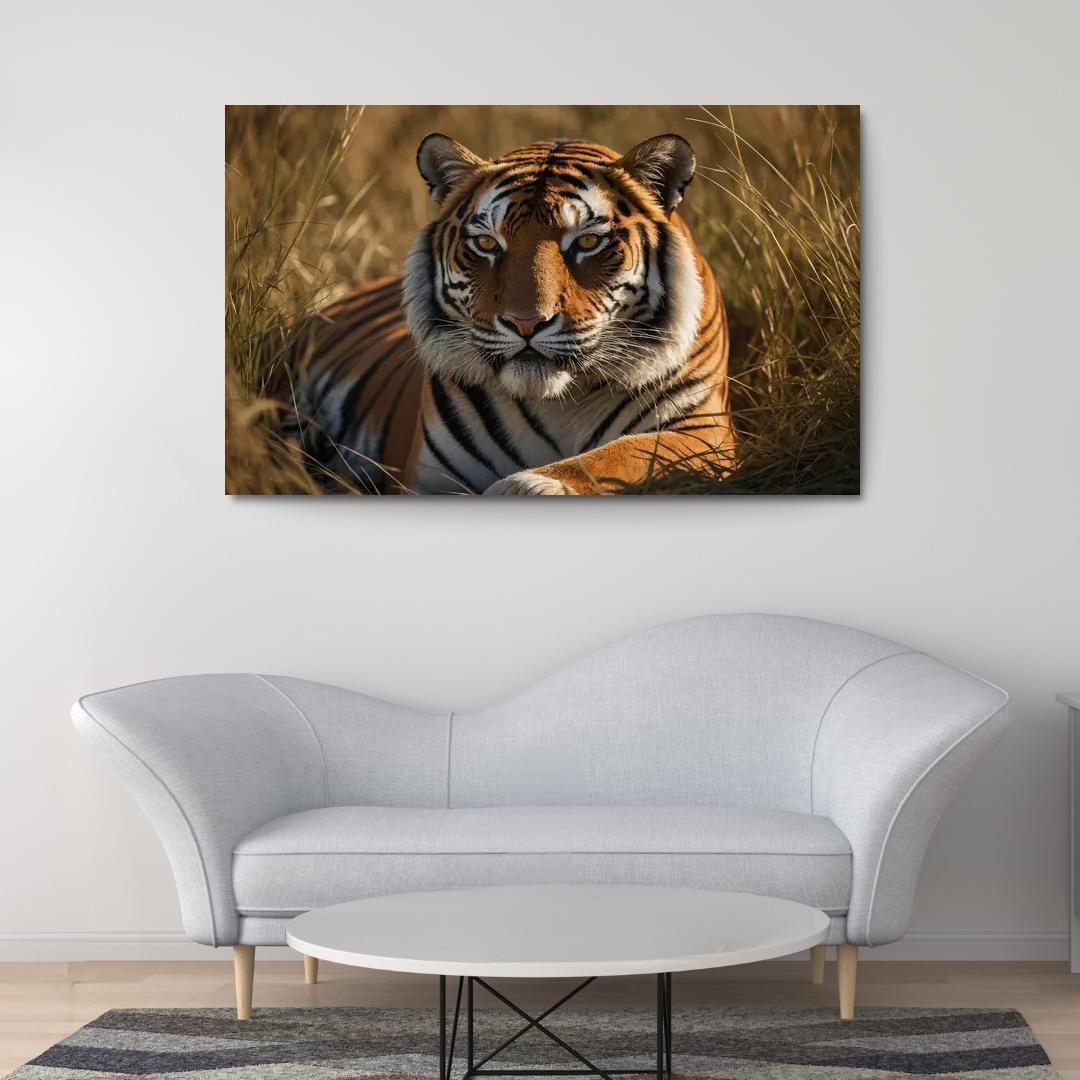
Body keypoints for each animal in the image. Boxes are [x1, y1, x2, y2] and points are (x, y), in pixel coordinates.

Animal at [285, 132, 733, 495]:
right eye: (487, 243)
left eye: (587, 242)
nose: (526, 323)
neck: (557, 404)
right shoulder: (430, 477)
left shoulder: (703, 430)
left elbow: (618, 456)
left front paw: (525, 486)